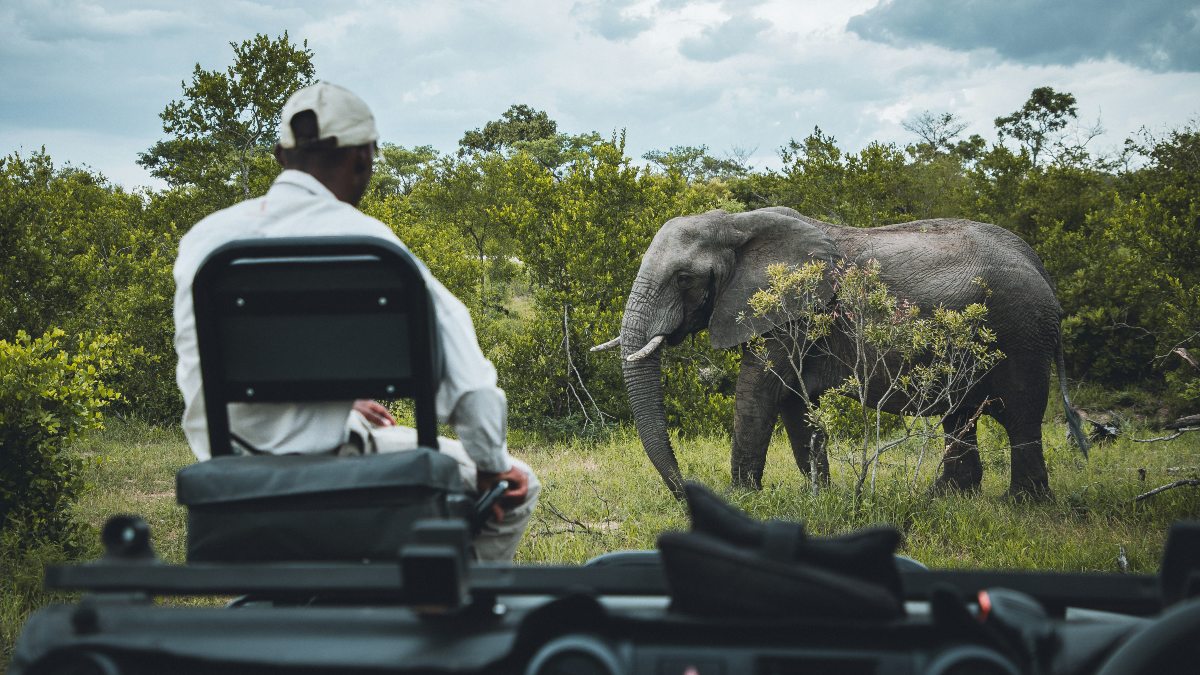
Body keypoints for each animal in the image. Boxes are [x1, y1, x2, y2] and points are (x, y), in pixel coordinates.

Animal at [596, 207, 1088, 500]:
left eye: (683, 278)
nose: (687, 493)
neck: (738, 222)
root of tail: (1039, 266)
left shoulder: (795, 308)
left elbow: (759, 393)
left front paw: (741, 500)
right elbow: (794, 402)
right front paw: (819, 496)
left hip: (1021, 333)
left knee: (1022, 415)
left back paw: (1022, 504)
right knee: (960, 414)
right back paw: (947, 498)